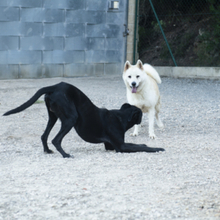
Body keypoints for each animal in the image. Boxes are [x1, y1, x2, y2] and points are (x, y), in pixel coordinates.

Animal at [3, 81, 165, 157]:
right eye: (141, 114)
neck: (120, 117)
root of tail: (55, 86)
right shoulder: (120, 147)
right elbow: (141, 147)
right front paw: (158, 148)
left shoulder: (111, 145)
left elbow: (139, 145)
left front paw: (145, 144)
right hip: (70, 119)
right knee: (56, 139)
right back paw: (65, 155)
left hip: (53, 117)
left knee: (44, 136)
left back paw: (48, 151)